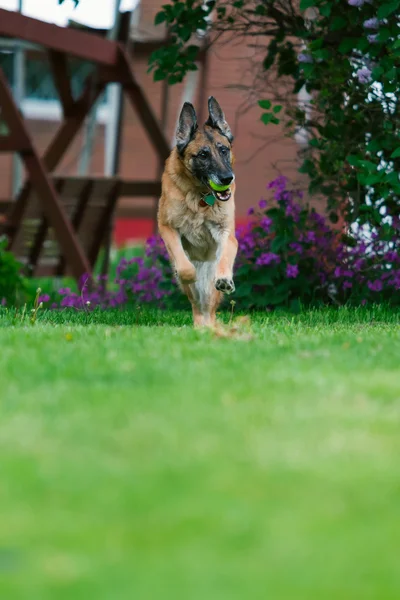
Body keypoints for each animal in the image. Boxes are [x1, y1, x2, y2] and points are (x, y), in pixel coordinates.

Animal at [157, 96, 238, 326]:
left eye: (224, 150)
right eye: (203, 155)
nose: (227, 178)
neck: (200, 197)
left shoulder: (226, 234)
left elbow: (226, 254)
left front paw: (225, 279)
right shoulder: (167, 227)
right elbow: (183, 266)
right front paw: (186, 273)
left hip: (210, 289)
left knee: (208, 309)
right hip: (193, 291)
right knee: (197, 307)